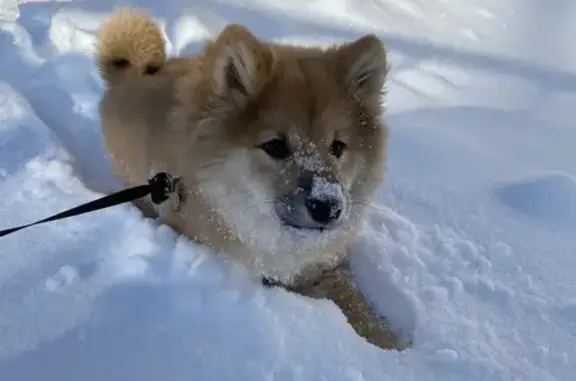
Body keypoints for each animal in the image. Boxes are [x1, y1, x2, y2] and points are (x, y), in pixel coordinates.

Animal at [98, 7, 396, 348]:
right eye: (275, 146)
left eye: (338, 147)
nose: (327, 206)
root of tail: (134, 74)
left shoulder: (325, 264)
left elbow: (355, 302)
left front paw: (386, 341)